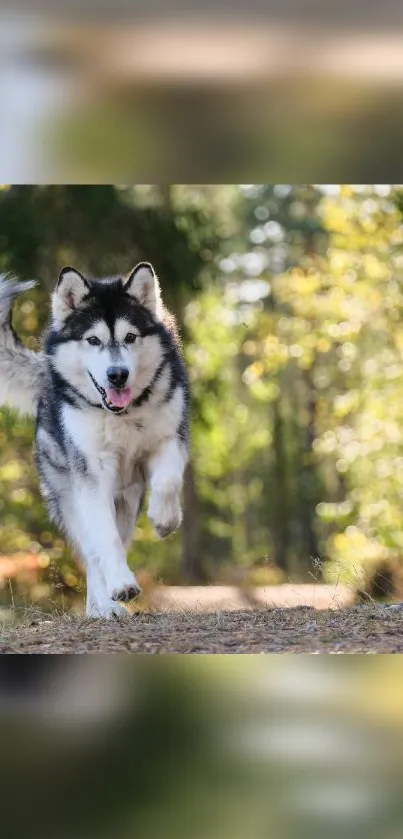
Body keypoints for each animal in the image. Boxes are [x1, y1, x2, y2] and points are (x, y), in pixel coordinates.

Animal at [0, 262, 189, 616]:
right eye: (92, 340)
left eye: (130, 337)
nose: (117, 375)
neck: (122, 415)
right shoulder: (92, 475)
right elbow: (105, 539)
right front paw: (121, 586)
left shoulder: (171, 438)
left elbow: (168, 482)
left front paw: (164, 520)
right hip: (71, 496)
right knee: (94, 551)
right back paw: (103, 605)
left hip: (127, 500)